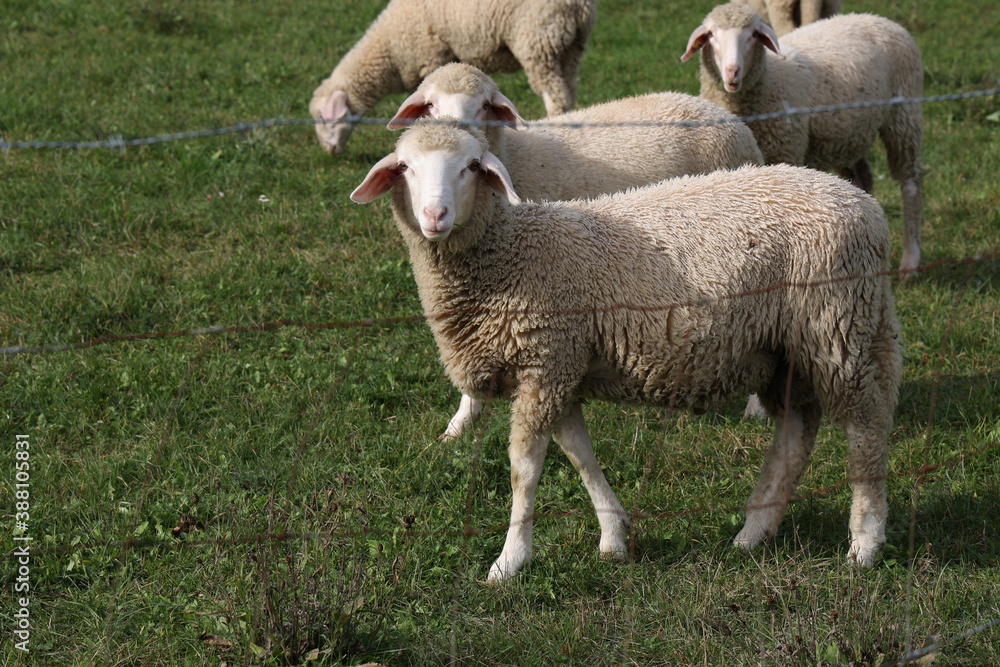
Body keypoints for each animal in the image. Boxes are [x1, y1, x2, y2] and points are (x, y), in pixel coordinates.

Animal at [308, 0, 597, 155]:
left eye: (324, 119)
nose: (329, 152)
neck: (390, 51)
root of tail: (576, 7)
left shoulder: (431, 57)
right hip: (571, 46)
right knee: (568, 91)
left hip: (538, 41)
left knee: (555, 96)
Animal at [350, 121, 902, 581]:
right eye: (406, 167)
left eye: (469, 166)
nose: (434, 215)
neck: (512, 253)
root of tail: (867, 207)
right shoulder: (563, 368)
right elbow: (580, 456)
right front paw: (614, 537)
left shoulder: (545, 362)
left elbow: (523, 470)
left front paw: (509, 561)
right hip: (788, 349)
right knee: (794, 437)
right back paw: (752, 534)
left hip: (837, 326)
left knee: (866, 427)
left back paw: (865, 542)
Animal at [388, 63, 767, 437]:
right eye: (431, 105)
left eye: (483, 105)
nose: (457, 129)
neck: (514, 157)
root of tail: (721, 113)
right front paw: (459, 426)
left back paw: (756, 406)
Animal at [681, 3, 924, 276]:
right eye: (712, 35)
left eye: (753, 35)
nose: (732, 72)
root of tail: (878, 18)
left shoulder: (786, 150)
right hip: (848, 133)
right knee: (862, 175)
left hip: (904, 114)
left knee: (911, 182)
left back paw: (910, 261)